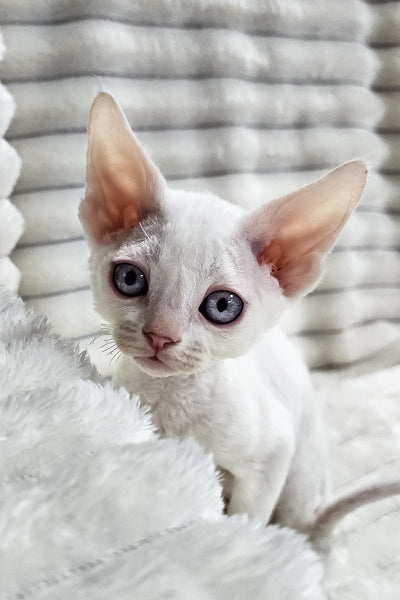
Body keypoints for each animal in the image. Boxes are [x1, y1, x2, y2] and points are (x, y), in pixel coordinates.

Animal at [80, 92, 400, 537]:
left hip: (301, 476)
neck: (174, 402)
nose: (161, 335)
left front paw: (240, 540)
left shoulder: (273, 454)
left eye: (222, 306)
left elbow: (248, 516)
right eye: (129, 279)